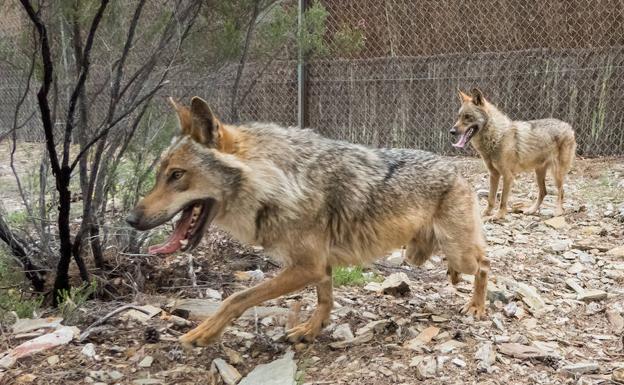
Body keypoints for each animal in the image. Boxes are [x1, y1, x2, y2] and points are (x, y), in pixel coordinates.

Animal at [450, 88, 576, 219]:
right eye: (459, 117)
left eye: (468, 117)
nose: (452, 131)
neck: (496, 137)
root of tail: (568, 126)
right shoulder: (493, 174)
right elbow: (491, 198)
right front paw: (486, 213)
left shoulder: (508, 176)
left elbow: (502, 200)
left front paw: (499, 215)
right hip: (538, 173)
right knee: (543, 192)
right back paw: (531, 210)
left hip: (557, 174)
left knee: (561, 191)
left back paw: (558, 211)